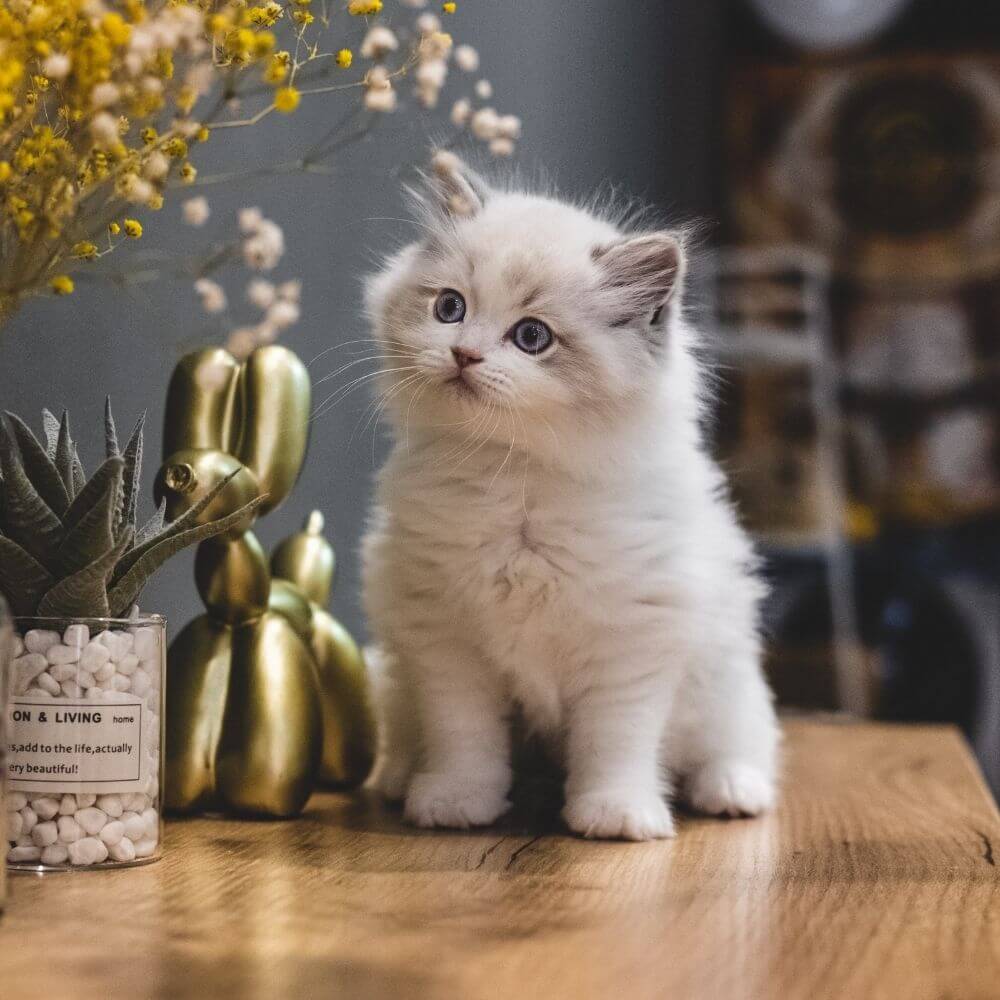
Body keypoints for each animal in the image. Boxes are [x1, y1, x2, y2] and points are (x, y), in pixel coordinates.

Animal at [362, 156, 780, 840]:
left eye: (532, 337)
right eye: (450, 307)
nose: (463, 354)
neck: (518, 481)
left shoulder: (630, 644)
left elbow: (615, 742)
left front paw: (616, 815)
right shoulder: (445, 640)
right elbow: (463, 738)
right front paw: (454, 802)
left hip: (726, 678)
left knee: (741, 743)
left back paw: (732, 792)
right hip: (399, 678)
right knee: (404, 733)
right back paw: (398, 780)